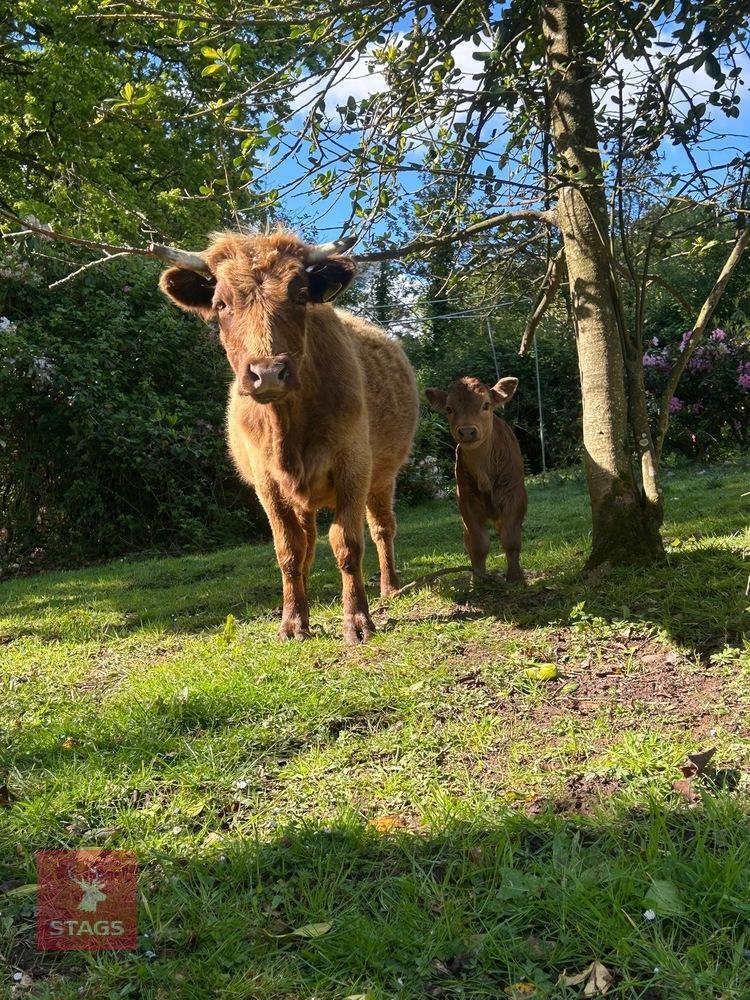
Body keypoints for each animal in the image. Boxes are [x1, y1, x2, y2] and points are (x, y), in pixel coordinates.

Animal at [159, 230, 419, 644]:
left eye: (299, 295)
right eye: (221, 304)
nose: (267, 372)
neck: (289, 428)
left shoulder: (353, 465)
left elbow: (347, 544)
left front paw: (357, 621)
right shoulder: (267, 483)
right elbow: (290, 551)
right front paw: (294, 621)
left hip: (383, 475)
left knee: (382, 527)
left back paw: (391, 587)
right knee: (308, 542)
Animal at [425, 376, 527, 584]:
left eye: (486, 404)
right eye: (449, 408)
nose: (466, 431)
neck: (484, 475)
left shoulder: (515, 496)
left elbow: (511, 540)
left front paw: (515, 577)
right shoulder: (466, 501)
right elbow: (478, 544)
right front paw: (479, 580)